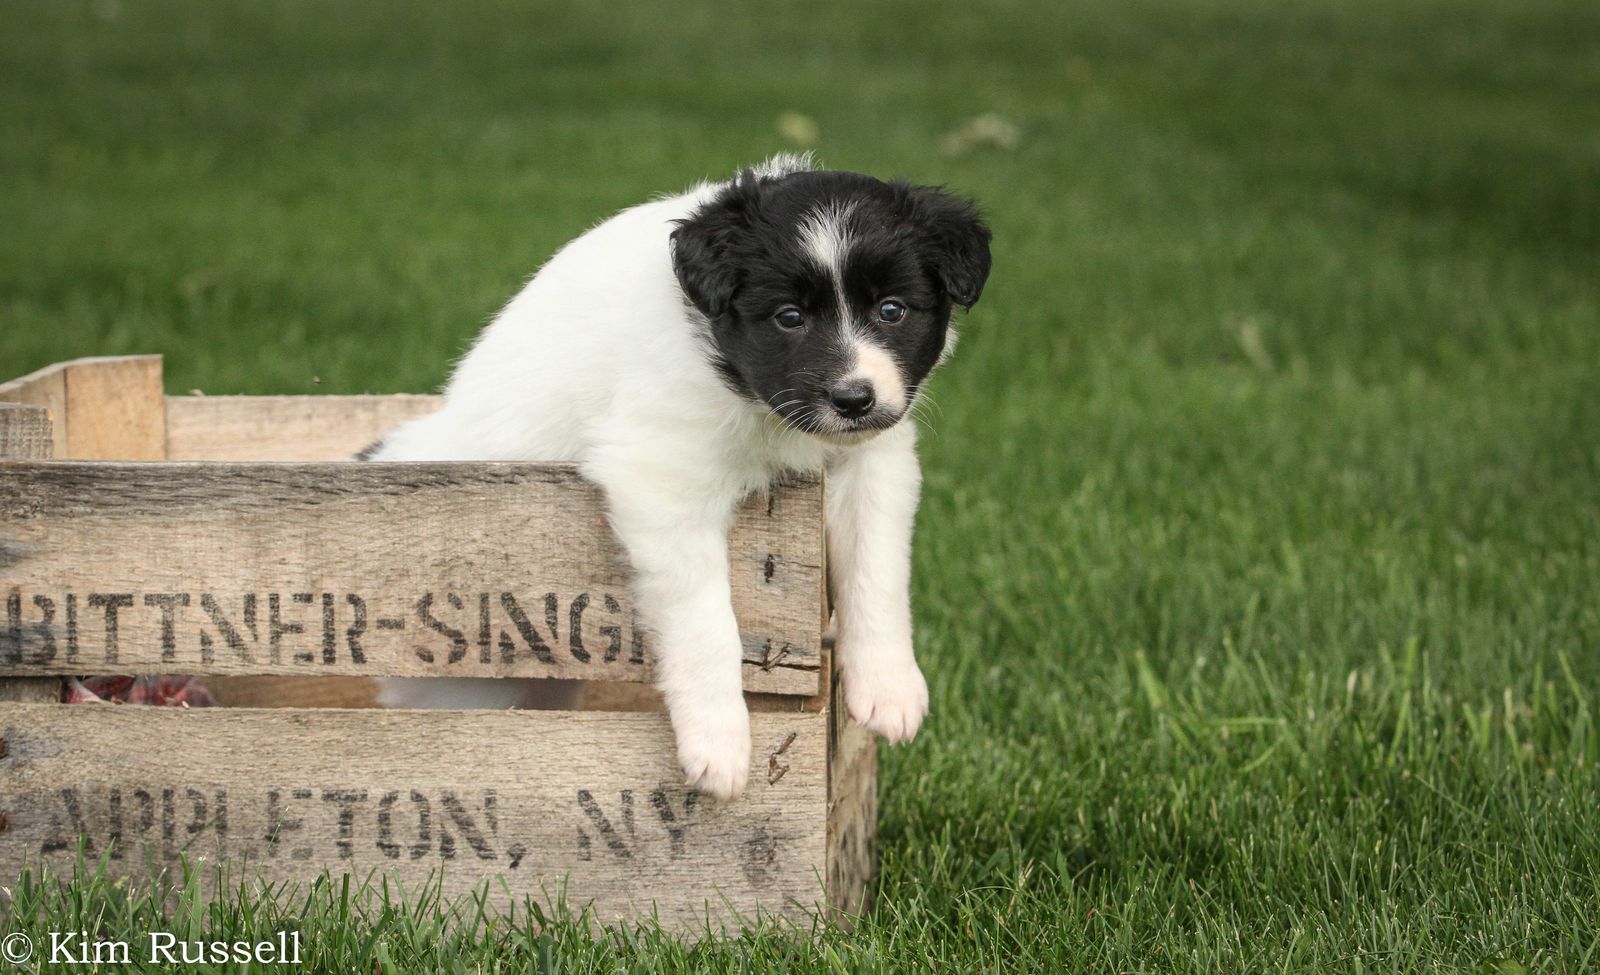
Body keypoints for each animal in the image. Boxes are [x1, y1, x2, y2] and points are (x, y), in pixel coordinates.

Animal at [367, 154, 990, 799]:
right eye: (788, 318)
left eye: (891, 310)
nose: (852, 399)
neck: (753, 401)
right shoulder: (661, 476)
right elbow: (704, 616)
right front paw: (719, 742)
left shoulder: (874, 463)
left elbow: (877, 573)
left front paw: (889, 687)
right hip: (464, 686)